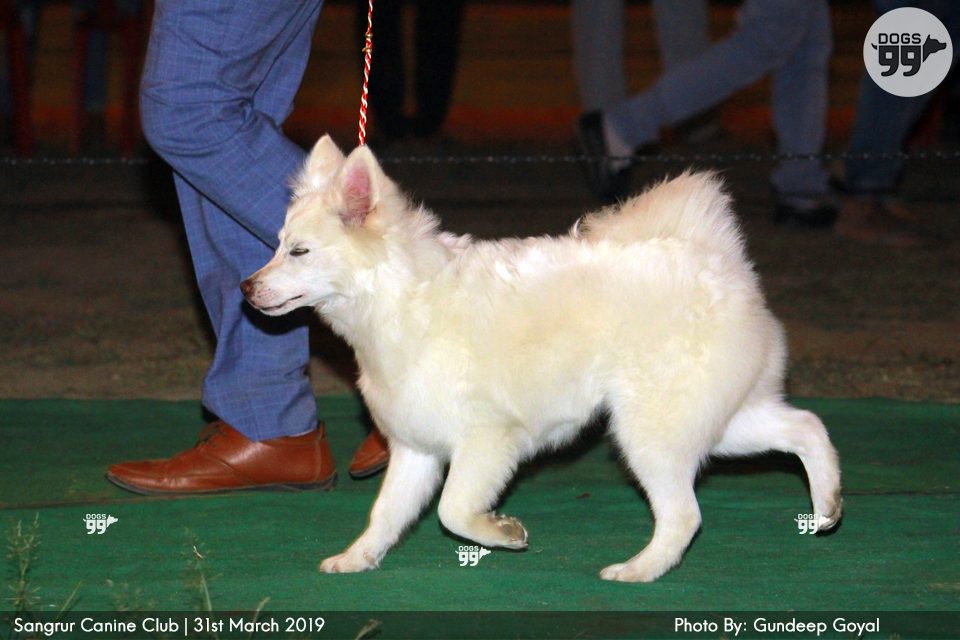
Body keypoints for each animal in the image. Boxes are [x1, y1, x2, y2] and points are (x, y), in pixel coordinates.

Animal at [241, 135, 842, 582]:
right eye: (277, 245)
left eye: (299, 251)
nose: (247, 288)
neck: (399, 299)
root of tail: (718, 262)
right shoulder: (416, 448)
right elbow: (387, 513)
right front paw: (358, 558)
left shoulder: (487, 440)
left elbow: (453, 510)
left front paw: (502, 532)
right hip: (718, 421)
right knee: (807, 427)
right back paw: (827, 504)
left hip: (651, 432)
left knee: (683, 515)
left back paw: (638, 571)